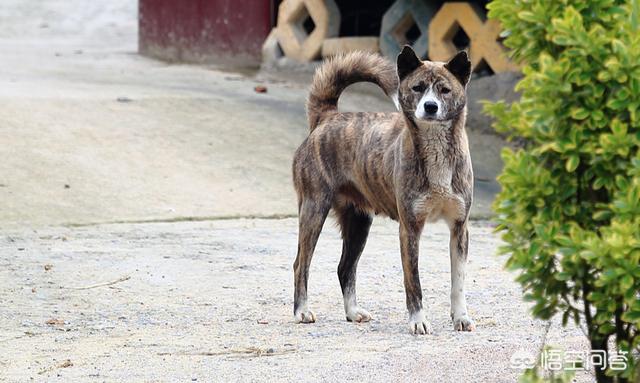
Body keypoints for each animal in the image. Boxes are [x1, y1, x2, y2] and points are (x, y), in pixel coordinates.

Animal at [290, 44, 476, 332]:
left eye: (445, 90)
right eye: (418, 88)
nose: (430, 106)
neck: (436, 151)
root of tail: (326, 117)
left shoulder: (459, 228)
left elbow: (458, 282)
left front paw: (460, 317)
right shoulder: (410, 229)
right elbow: (414, 282)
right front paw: (418, 321)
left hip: (358, 223)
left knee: (345, 268)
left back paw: (353, 312)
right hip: (313, 210)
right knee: (301, 264)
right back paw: (302, 311)